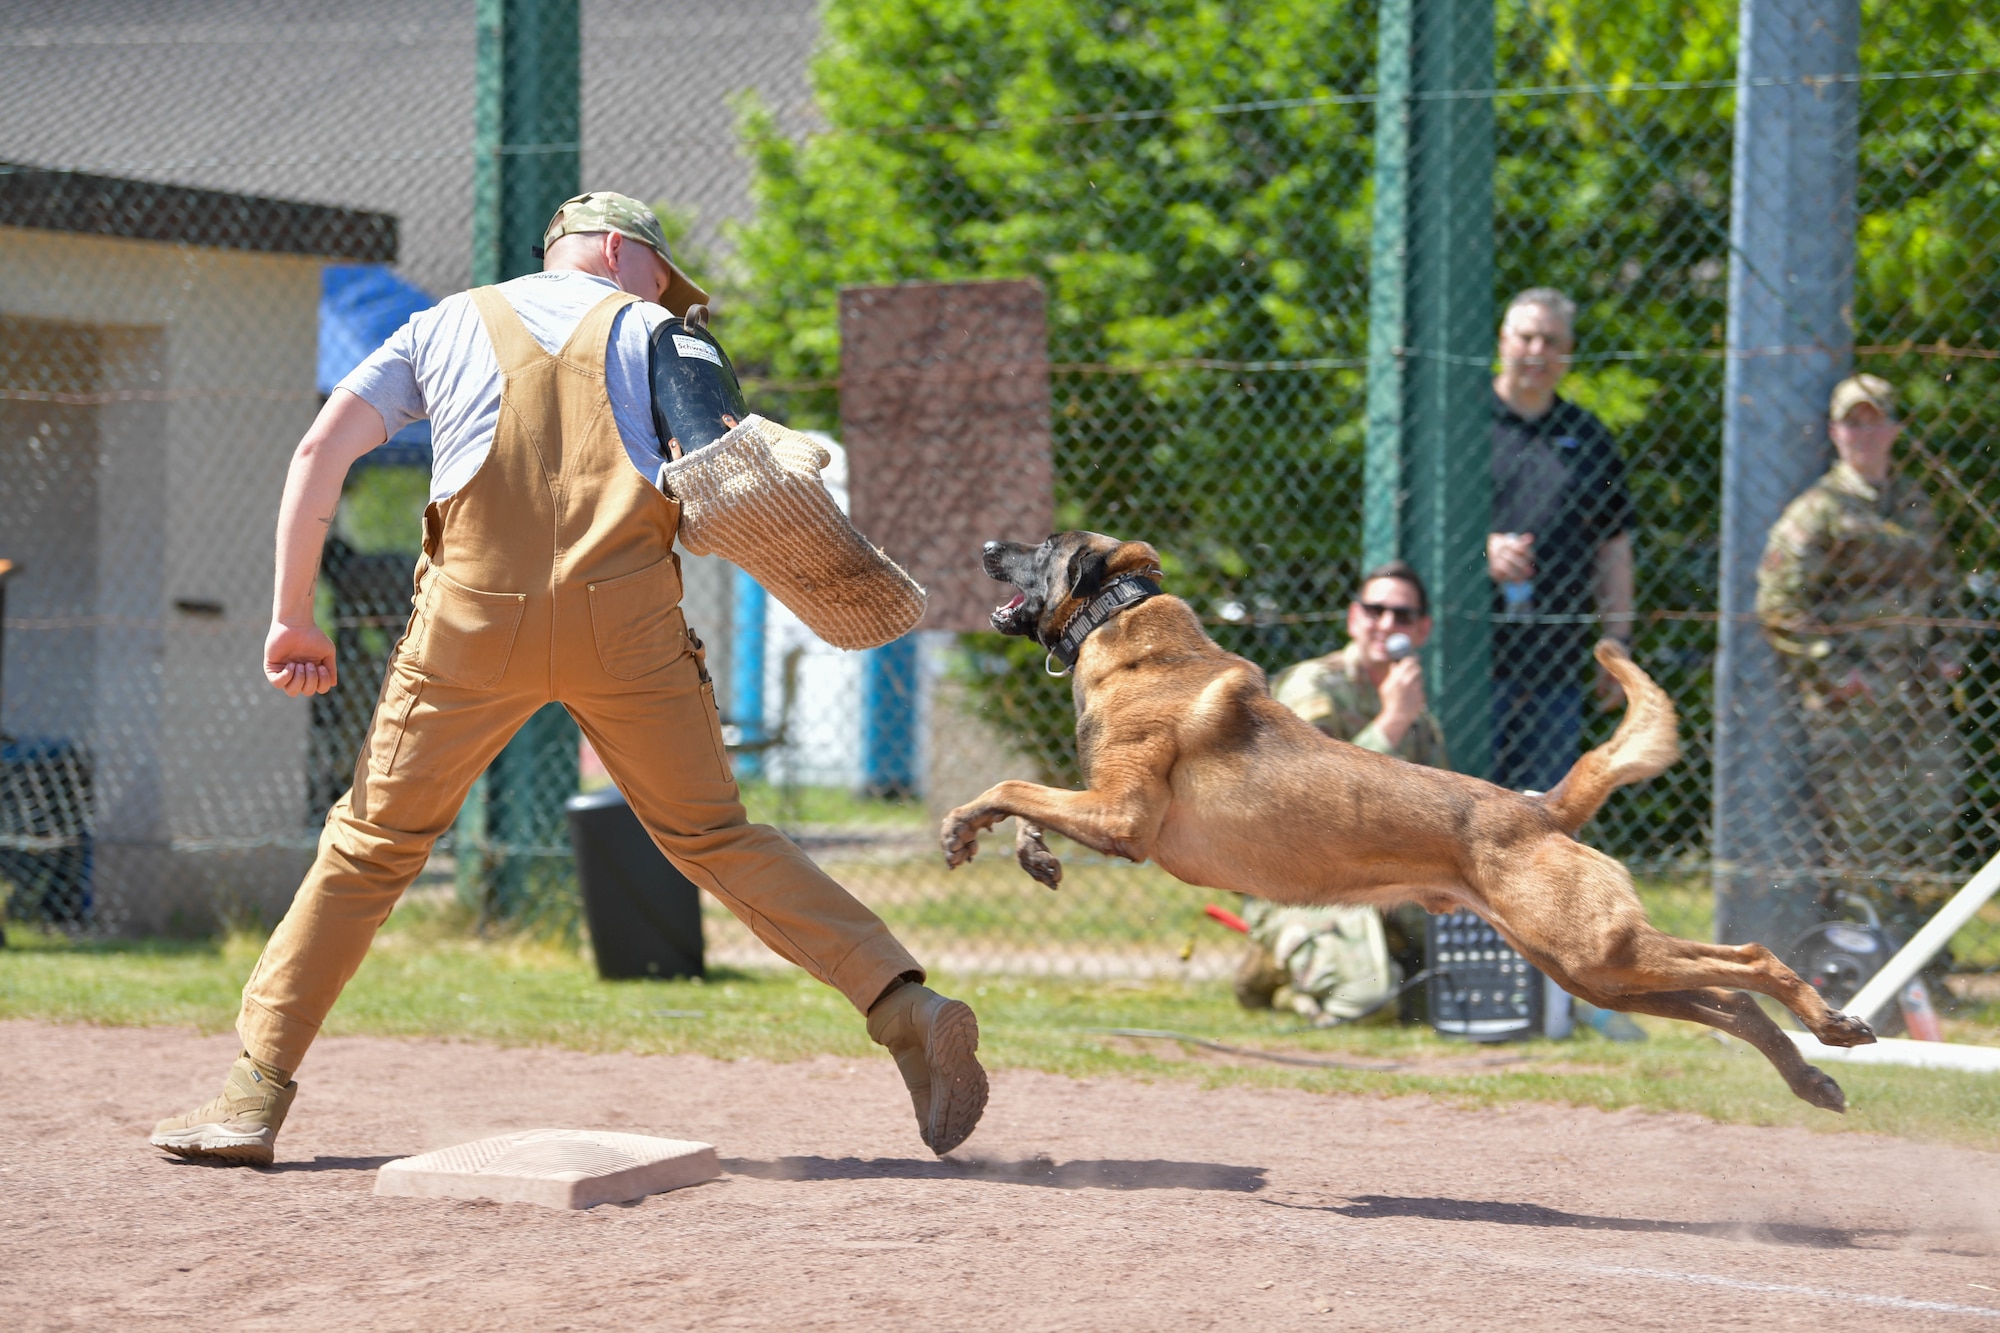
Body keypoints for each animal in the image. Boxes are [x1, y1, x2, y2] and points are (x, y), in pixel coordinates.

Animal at [936, 528, 1872, 1096]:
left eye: (1041, 547)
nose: (981, 544)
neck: (1120, 622)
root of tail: (1541, 810)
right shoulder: (1103, 806)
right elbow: (1030, 801)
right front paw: (1029, 852)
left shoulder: (1125, 817)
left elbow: (1012, 785)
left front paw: (958, 826)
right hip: (1594, 968)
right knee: (1731, 1002)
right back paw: (1811, 1076)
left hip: (1597, 948)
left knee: (1752, 959)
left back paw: (1834, 1021)